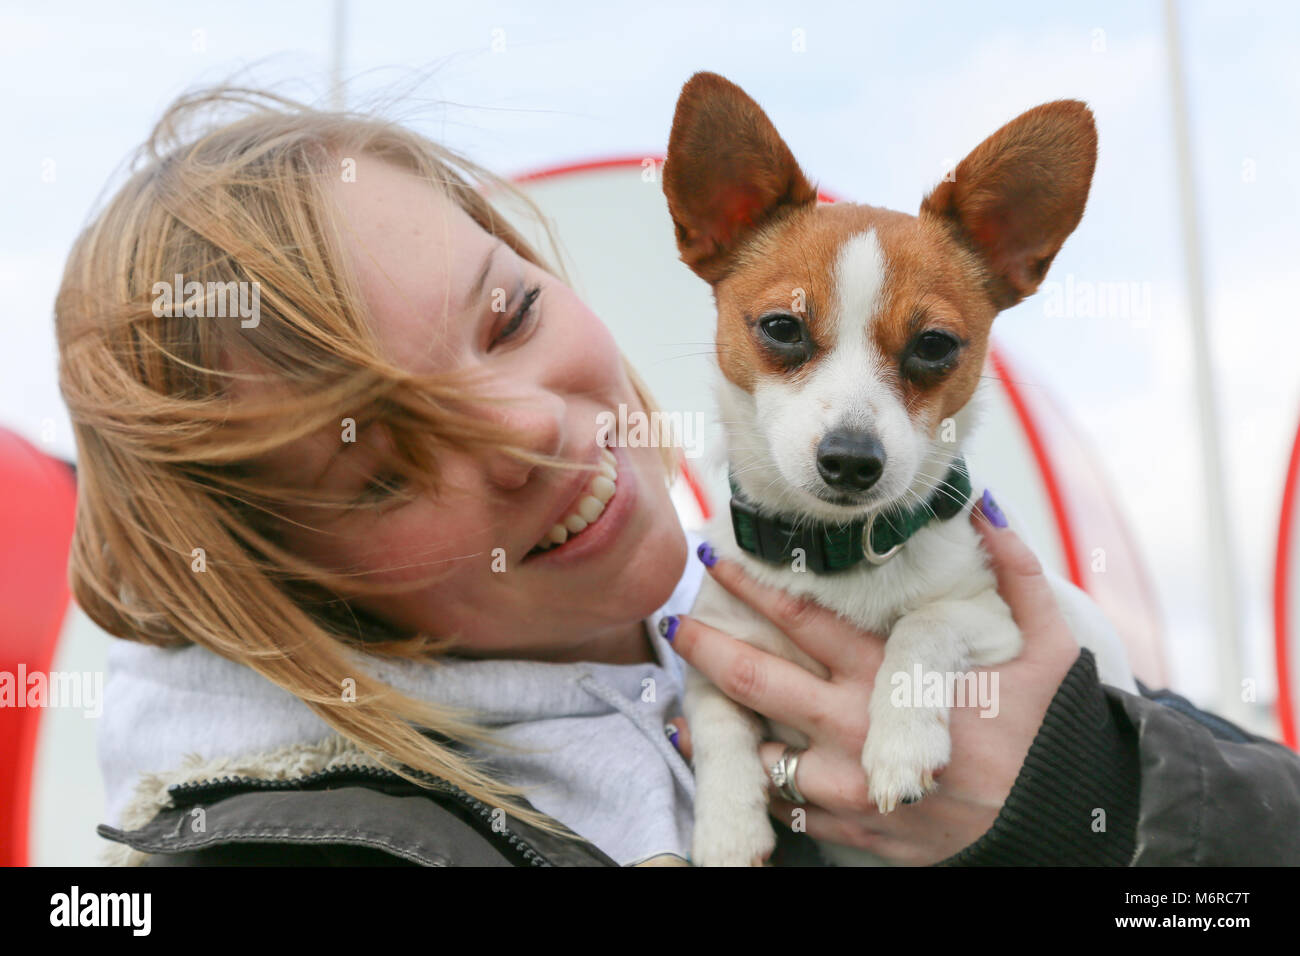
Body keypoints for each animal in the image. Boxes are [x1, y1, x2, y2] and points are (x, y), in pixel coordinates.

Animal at [665, 72, 1133, 868]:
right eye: (782, 328)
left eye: (935, 344)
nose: (852, 460)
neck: (830, 554)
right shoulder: (717, 647)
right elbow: (716, 714)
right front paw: (727, 826)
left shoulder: (999, 625)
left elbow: (924, 624)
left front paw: (900, 746)